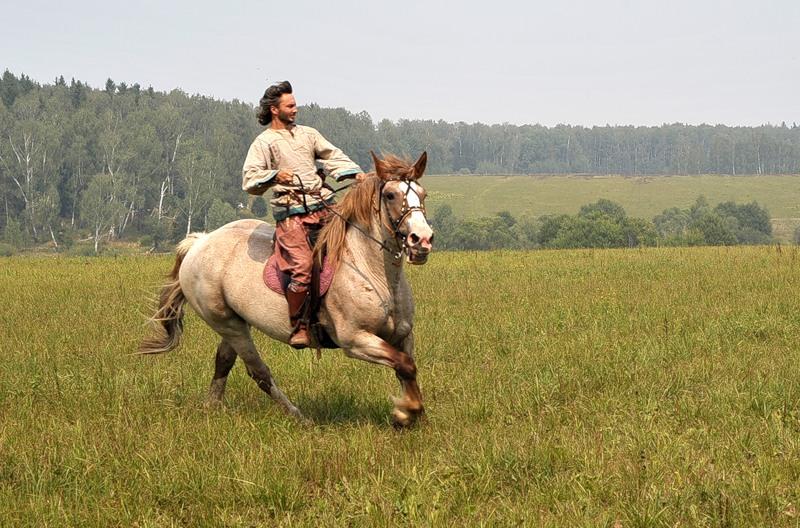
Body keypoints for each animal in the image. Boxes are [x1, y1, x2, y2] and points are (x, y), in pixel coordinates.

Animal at [141, 151, 434, 426]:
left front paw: (412, 413)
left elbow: (406, 368)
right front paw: (405, 413)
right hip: (226, 323)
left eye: (423, 194)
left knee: (224, 360)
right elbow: (405, 365)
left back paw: (211, 407)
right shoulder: (355, 340)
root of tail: (200, 242)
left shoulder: (403, 336)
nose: (422, 240)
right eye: (390, 195)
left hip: (235, 322)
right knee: (258, 372)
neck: (373, 272)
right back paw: (298, 416)